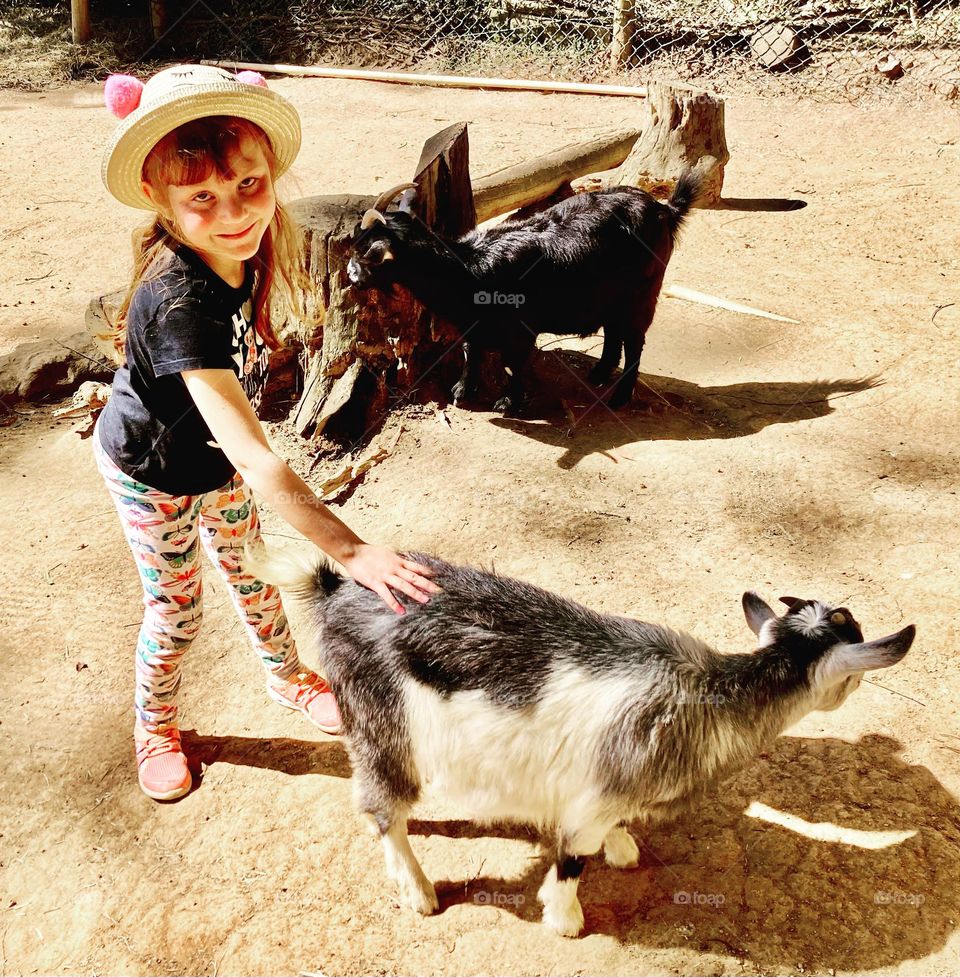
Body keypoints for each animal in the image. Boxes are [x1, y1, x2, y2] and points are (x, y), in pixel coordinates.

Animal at [251, 548, 920, 936]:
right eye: (853, 672)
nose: (853, 692)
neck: (708, 695)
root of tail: (338, 588)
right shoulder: (590, 805)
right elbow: (572, 860)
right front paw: (566, 920)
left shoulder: (606, 787)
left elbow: (609, 834)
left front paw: (623, 849)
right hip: (380, 723)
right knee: (382, 807)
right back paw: (418, 892)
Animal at [348, 173, 700, 410]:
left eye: (366, 251)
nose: (351, 276)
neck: (471, 269)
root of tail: (665, 210)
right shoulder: (474, 325)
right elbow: (472, 350)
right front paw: (463, 391)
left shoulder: (522, 329)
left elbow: (513, 362)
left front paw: (509, 401)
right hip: (613, 299)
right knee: (614, 335)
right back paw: (599, 374)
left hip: (642, 295)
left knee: (634, 342)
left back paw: (620, 397)